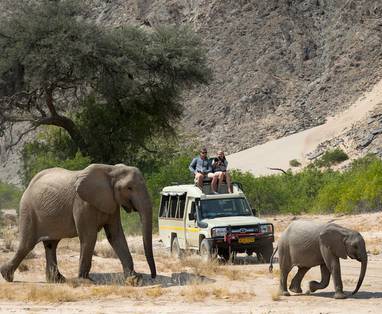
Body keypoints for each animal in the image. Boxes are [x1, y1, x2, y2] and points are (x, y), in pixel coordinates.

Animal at [0, 164, 155, 282]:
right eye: (129, 188)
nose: (153, 276)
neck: (111, 170)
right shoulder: (82, 203)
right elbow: (89, 236)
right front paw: (85, 281)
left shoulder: (111, 203)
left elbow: (115, 235)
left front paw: (134, 278)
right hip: (28, 209)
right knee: (27, 244)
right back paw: (7, 276)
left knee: (51, 245)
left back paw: (57, 280)